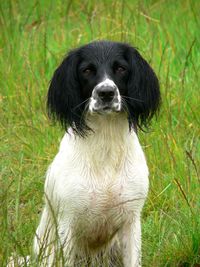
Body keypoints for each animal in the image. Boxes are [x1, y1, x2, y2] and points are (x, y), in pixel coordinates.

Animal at [33, 40, 160, 266]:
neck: (105, 146)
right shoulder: (67, 224)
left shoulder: (131, 220)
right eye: (87, 70)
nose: (106, 92)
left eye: (121, 68)